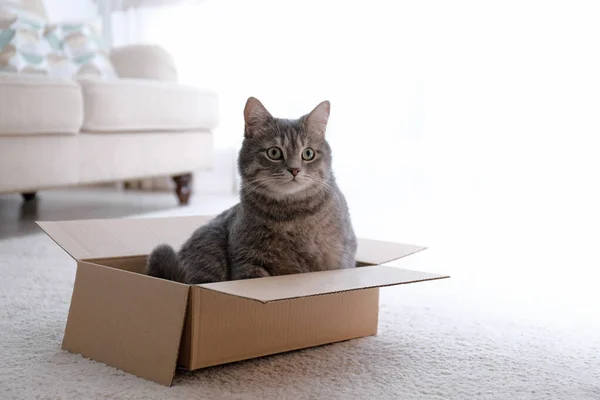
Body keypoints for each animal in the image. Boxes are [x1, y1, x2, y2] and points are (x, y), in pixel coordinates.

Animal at [145, 97, 356, 284]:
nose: (295, 169)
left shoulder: (340, 259)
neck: (292, 214)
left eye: (308, 153)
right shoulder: (248, 260)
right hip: (211, 249)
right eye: (274, 152)